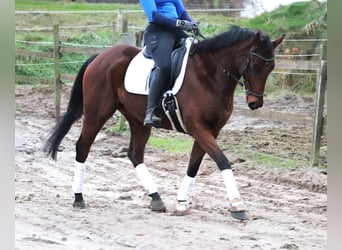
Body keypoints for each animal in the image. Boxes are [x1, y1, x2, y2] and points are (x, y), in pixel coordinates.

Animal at [44, 25, 284, 221]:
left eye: (271, 68)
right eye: (254, 65)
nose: (255, 103)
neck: (209, 75)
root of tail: (101, 56)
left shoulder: (210, 131)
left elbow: (194, 166)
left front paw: (181, 204)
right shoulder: (199, 129)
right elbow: (223, 161)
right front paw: (237, 206)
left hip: (138, 121)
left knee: (135, 154)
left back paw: (156, 198)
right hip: (97, 114)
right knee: (82, 147)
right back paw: (78, 198)